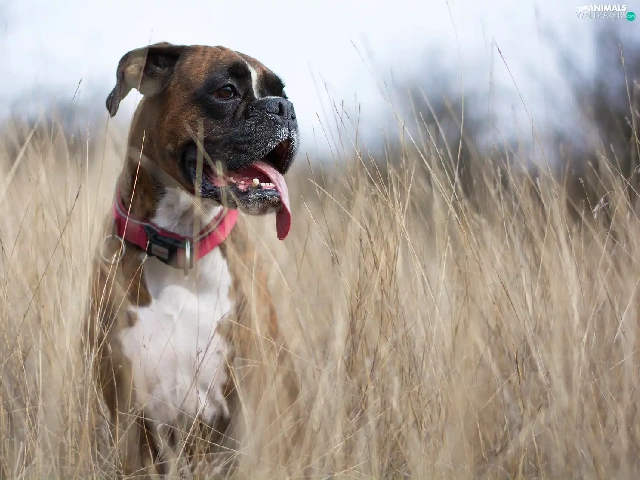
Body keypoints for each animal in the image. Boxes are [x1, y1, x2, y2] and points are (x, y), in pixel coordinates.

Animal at [85, 42, 300, 477]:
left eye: (280, 93)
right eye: (226, 91)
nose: (283, 108)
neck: (181, 243)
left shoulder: (246, 409)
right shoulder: (126, 413)